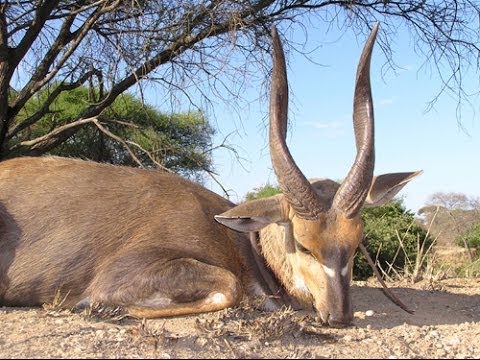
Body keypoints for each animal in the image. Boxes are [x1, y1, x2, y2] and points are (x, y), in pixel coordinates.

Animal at [0, 22, 420, 326]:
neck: (242, 244)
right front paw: (94, 307)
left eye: (356, 241)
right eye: (303, 244)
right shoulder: (123, 274)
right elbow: (229, 289)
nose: (339, 317)